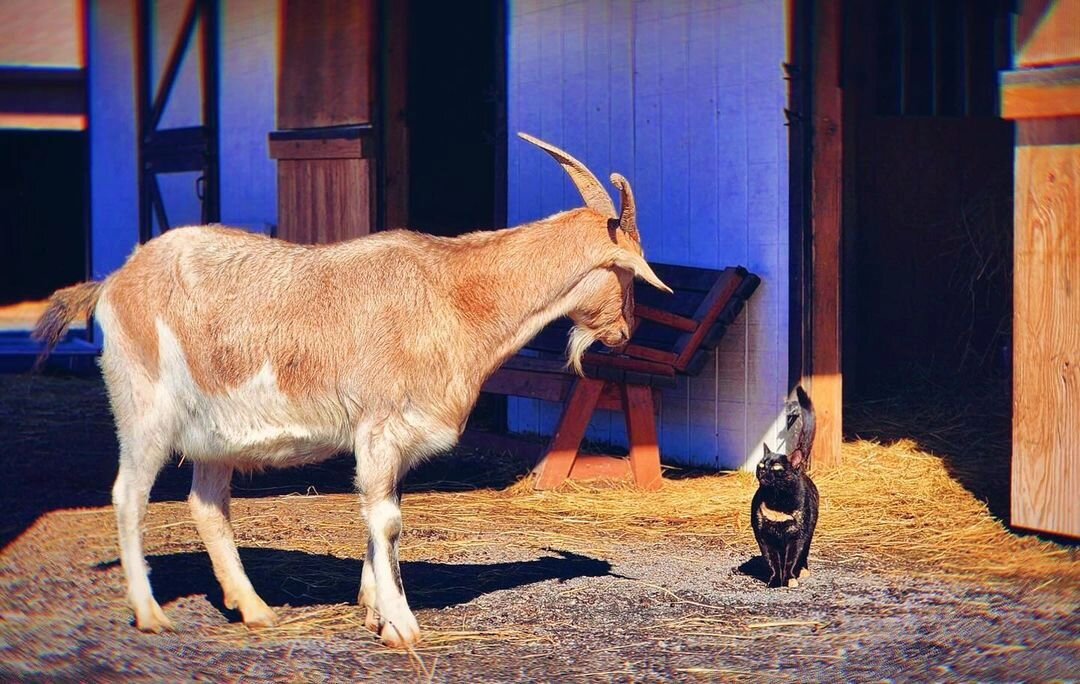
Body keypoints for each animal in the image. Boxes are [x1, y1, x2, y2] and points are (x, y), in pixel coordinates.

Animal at [33, 131, 669, 644]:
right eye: (628, 274)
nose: (626, 331)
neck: (457, 294)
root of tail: (112, 282)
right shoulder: (380, 425)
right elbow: (386, 520)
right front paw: (401, 625)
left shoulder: (391, 439)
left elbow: (379, 515)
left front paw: (372, 609)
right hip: (143, 407)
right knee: (128, 494)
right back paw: (150, 614)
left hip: (214, 431)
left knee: (208, 504)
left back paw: (255, 610)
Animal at [751, 386, 816, 583]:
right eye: (760, 466)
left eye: (776, 468)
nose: (763, 472)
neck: (777, 501)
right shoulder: (764, 536)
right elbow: (771, 560)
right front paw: (774, 580)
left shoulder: (798, 536)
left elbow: (792, 560)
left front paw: (789, 579)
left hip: (810, 532)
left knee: (804, 554)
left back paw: (803, 570)